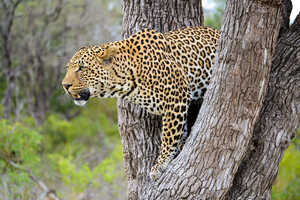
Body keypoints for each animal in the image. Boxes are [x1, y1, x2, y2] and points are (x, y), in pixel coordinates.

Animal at [61, 25, 220, 180]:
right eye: (68, 68)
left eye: (81, 68)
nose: (65, 85)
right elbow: (179, 133)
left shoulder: (176, 98)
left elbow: (169, 136)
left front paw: (160, 164)